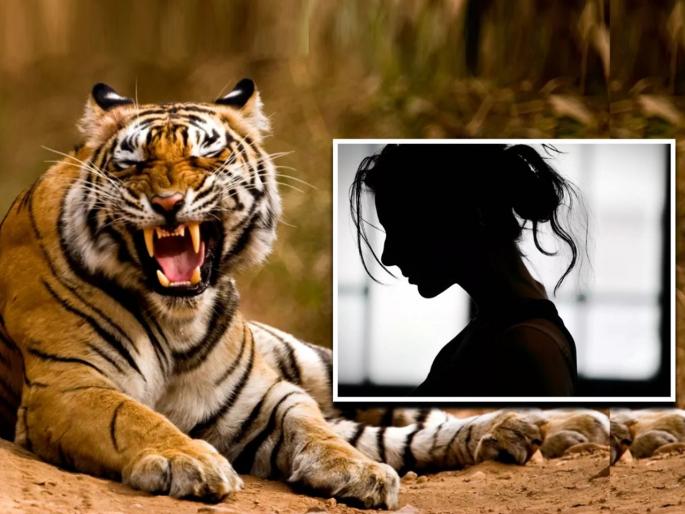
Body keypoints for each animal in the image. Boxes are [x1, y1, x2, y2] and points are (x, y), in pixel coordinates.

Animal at [0, 78, 573, 508]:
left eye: (206, 157)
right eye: (134, 163)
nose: (167, 203)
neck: (176, 319)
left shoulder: (260, 397)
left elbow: (311, 426)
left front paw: (357, 471)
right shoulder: (68, 384)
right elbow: (133, 416)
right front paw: (190, 459)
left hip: (315, 361)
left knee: (415, 420)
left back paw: (554, 426)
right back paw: (526, 432)